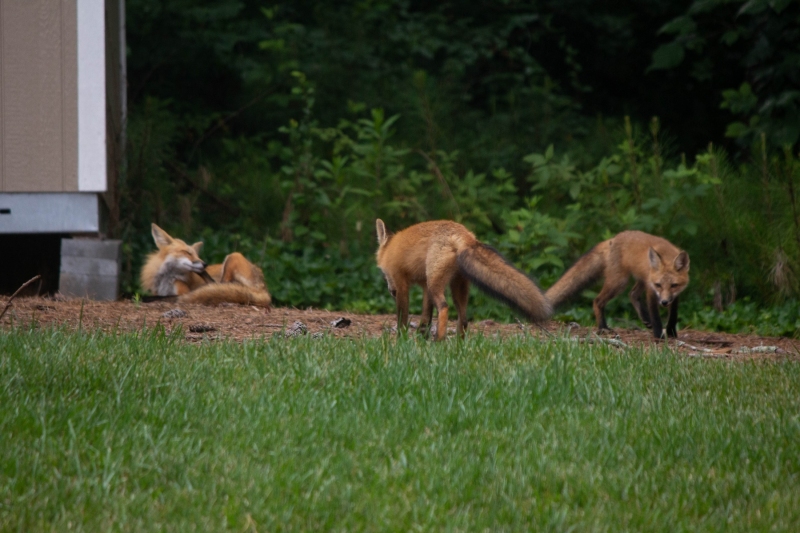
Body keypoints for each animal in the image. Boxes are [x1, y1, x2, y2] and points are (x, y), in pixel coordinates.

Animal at [140, 223, 272, 308]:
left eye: (196, 254)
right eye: (188, 253)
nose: (204, 264)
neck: (166, 279)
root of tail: (264, 288)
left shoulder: (182, 290)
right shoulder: (158, 292)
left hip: (233, 256)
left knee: (218, 286)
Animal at [375, 219, 552, 341]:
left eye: (385, 275)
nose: (391, 291)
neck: (390, 250)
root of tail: (465, 234)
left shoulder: (403, 284)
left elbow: (402, 318)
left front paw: (401, 340)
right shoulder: (425, 286)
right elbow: (426, 316)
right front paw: (421, 337)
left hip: (436, 284)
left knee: (444, 307)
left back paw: (439, 341)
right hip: (455, 286)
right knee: (464, 319)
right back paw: (458, 347)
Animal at [546, 230, 690, 339]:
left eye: (674, 285)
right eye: (658, 285)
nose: (664, 302)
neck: (667, 254)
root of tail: (613, 238)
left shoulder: (673, 295)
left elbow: (673, 314)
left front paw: (671, 332)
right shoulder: (652, 290)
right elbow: (655, 316)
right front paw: (659, 335)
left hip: (639, 279)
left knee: (632, 294)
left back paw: (644, 318)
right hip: (619, 282)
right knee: (597, 301)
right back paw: (603, 327)